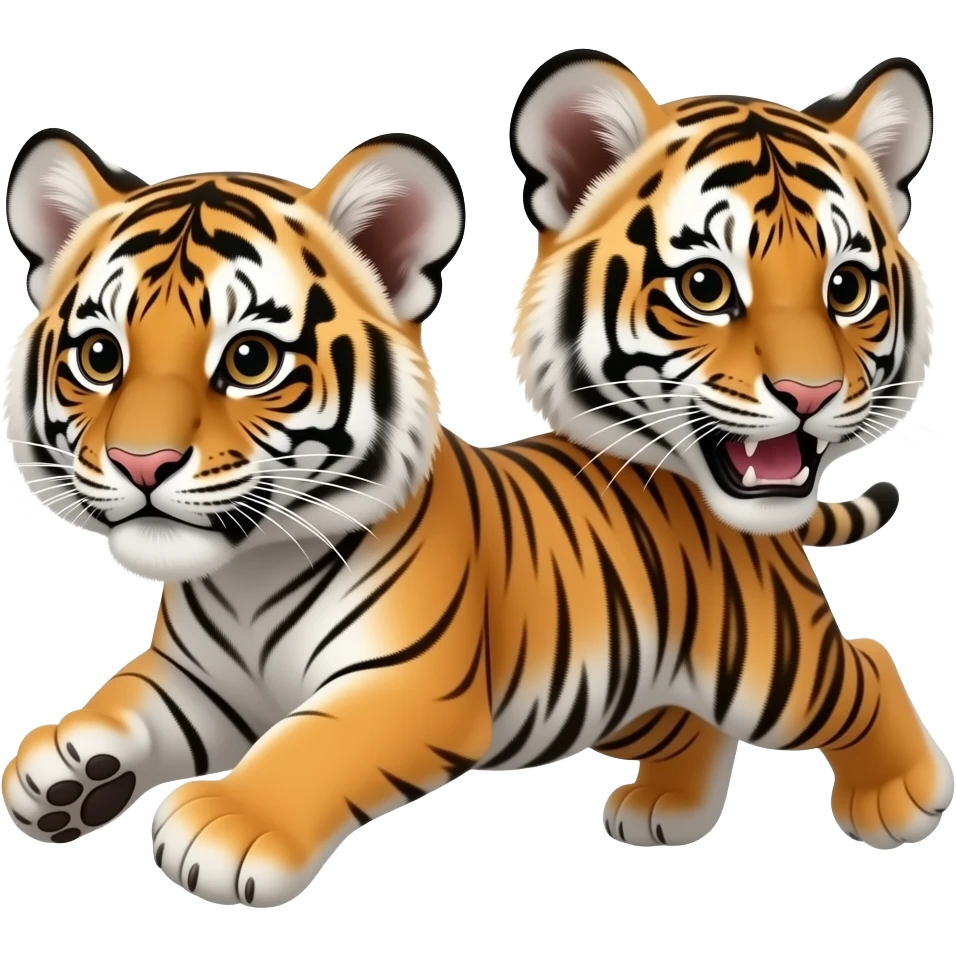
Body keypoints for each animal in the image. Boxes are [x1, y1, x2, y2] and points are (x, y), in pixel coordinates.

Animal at [0, 112, 937, 912]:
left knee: (865, 666)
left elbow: (309, 744)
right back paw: (667, 809)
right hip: (631, 693)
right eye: (99, 355)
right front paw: (67, 769)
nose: (141, 464)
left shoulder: (404, 688)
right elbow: (126, 697)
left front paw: (230, 822)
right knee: (694, 728)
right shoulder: (196, 680)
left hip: (766, 666)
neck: (248, 570)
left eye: (251, 359)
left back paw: (901, 795)